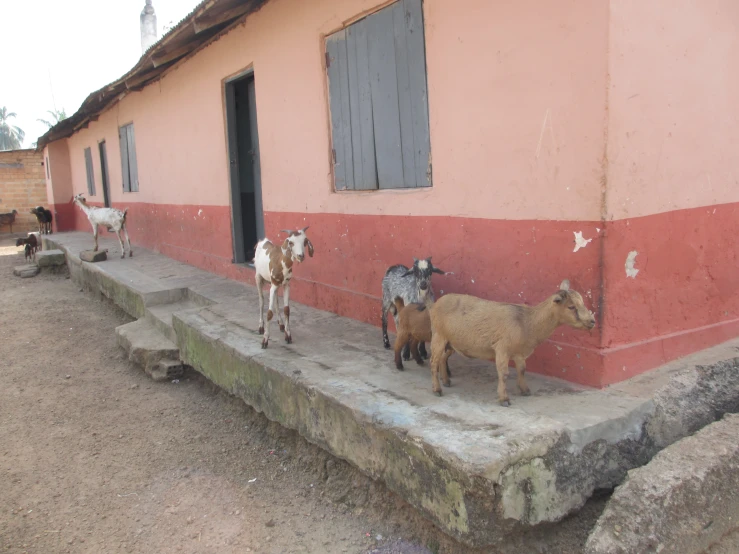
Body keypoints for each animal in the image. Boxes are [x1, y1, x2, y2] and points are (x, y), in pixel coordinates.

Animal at [428, 280, 596, 406]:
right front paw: (504, 399)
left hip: (451, 341)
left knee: (442, 358)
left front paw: (525, 390)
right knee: (434, 362)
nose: (592, 321)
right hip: (438, 335)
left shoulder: (519, 353)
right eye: (571, 307)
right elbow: (504, 374)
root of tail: (436, 304)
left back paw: (446, 380)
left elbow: (522, 370)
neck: (527, 322)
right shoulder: (502, 349)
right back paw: (437, 389)